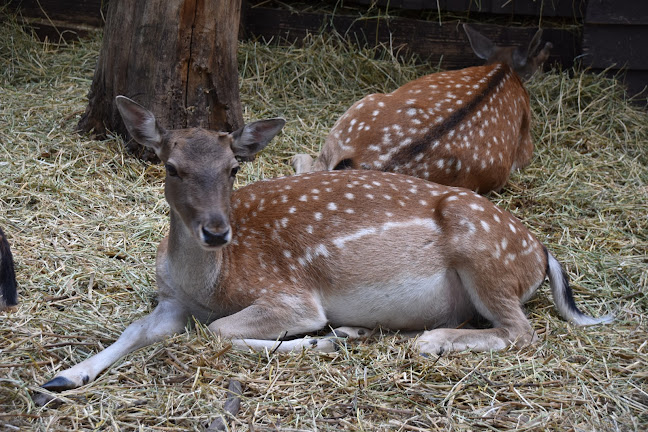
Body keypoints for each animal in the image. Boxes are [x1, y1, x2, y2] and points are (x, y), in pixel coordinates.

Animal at [40, 96, 612, 394]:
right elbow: (137, 329)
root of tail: (541, 253)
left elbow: (219, 333)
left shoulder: (292, 296)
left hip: (485, 255)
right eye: (171, 166)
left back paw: (428, 341)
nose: (217, 231)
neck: (210, 283)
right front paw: (62, 377)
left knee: (522, 333)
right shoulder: (172, 301)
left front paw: (333, 339)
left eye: (233, 168)